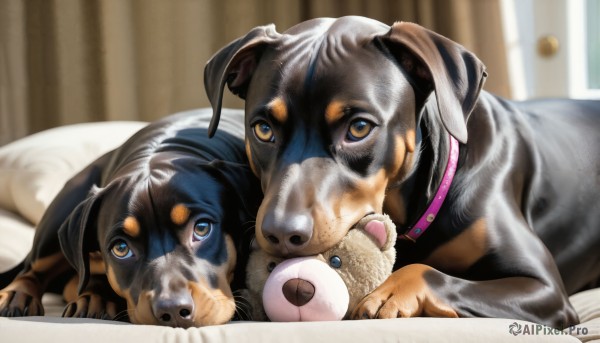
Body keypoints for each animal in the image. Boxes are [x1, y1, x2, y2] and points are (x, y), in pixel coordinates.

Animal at [0, 109, 262, 328]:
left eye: (202, 228)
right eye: (121, 248)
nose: (173, 310)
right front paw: (95, 297)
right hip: (58, 218)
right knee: (32, 270)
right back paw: (17, 295)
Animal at [205, 16, 600, 328]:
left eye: (359, 128)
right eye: (263, 129)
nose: (282, 233)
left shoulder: (546, 289)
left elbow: (426, 270)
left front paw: (390, 291)